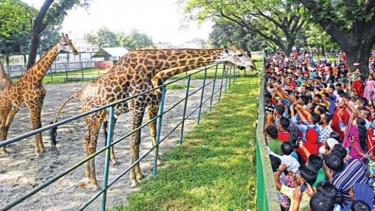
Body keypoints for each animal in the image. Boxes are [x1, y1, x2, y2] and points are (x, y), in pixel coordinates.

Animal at [50, 45, 250, 188]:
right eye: (240, 54)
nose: (252, 65)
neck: (154, 66)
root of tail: (80, 94)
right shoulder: (138, 103)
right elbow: (135, 139)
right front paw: (135, 178)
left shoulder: (150, 102)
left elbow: (151, 132)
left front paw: (147, 168)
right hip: (95, 115)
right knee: (91, 142)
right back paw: (95, 182)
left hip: (101, 116)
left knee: (89, 139)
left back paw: (91, 176)